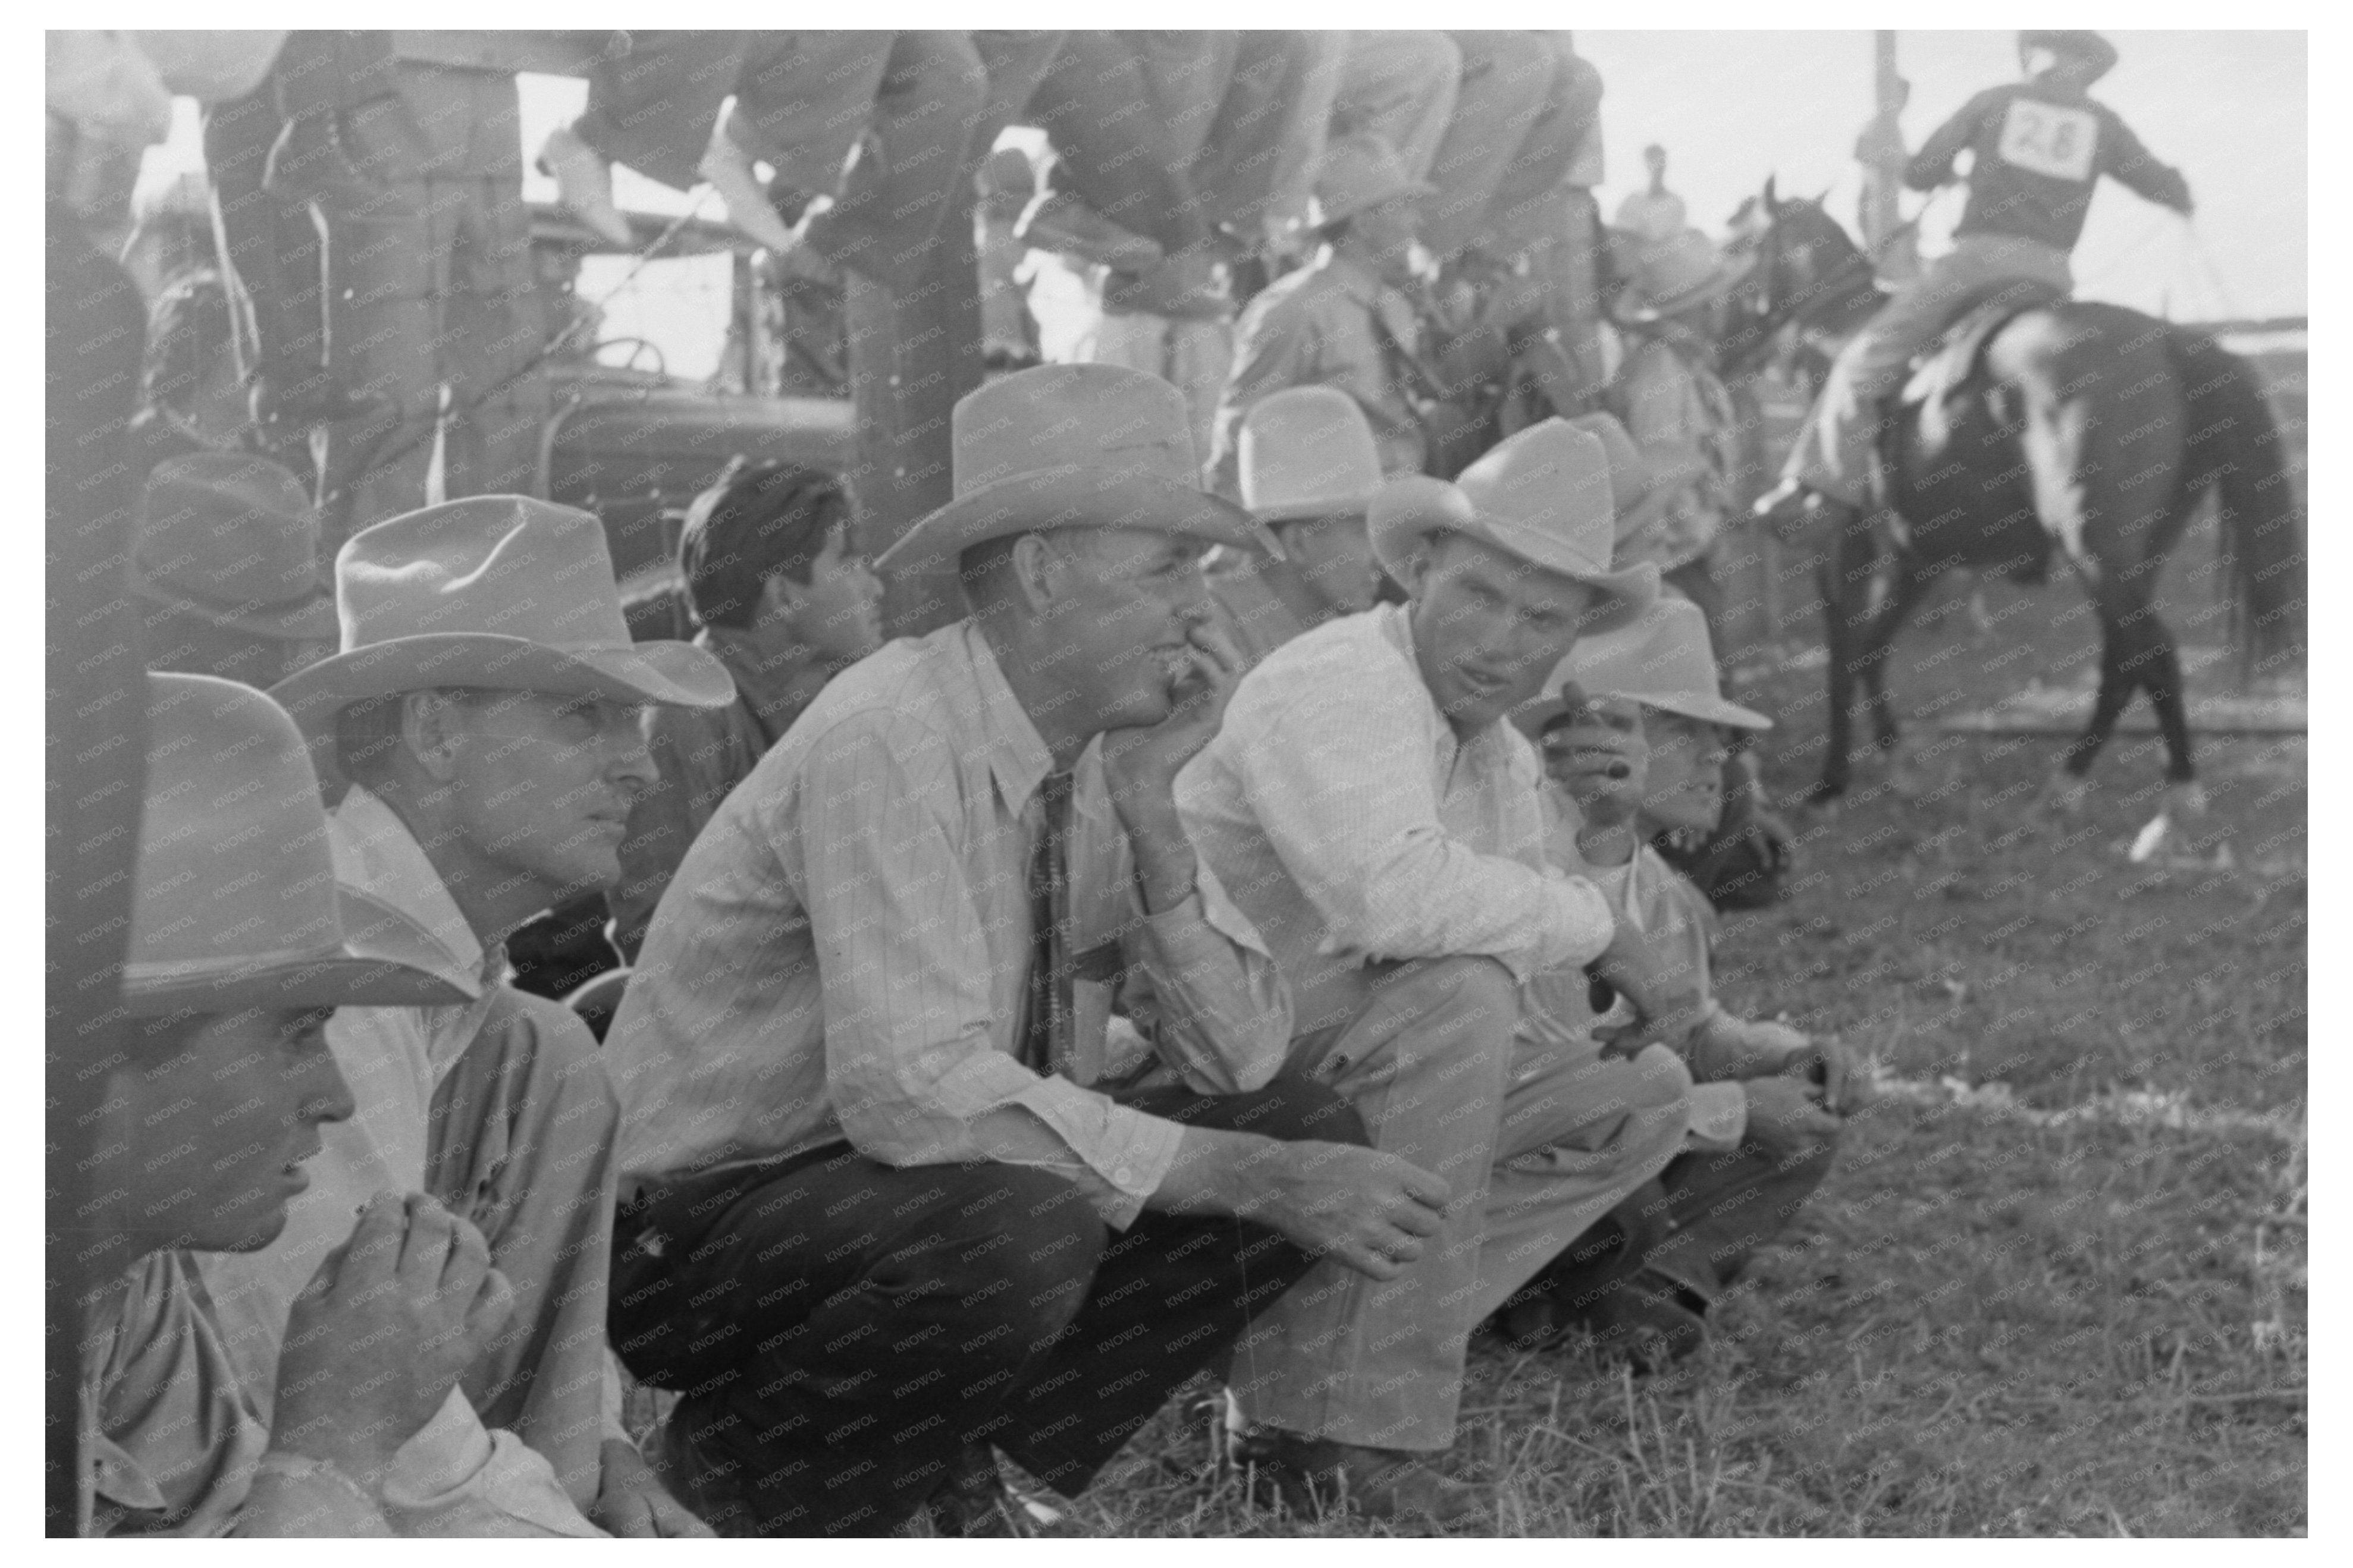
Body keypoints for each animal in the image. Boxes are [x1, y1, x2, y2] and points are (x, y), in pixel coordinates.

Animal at [1731, 186, 2296, 818]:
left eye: (1734, 242)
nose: (1721, 338)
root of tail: (2169, 339)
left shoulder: (1844, 549)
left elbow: (1845, 658)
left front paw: (1833, 781)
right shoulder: (1917, 559)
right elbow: (1870, 651)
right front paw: (1896, 764)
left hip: (2093, 548)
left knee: (2153, 651)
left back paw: (2178, 789)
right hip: (2136, 555)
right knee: (2124, 656)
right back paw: (2070, 780)